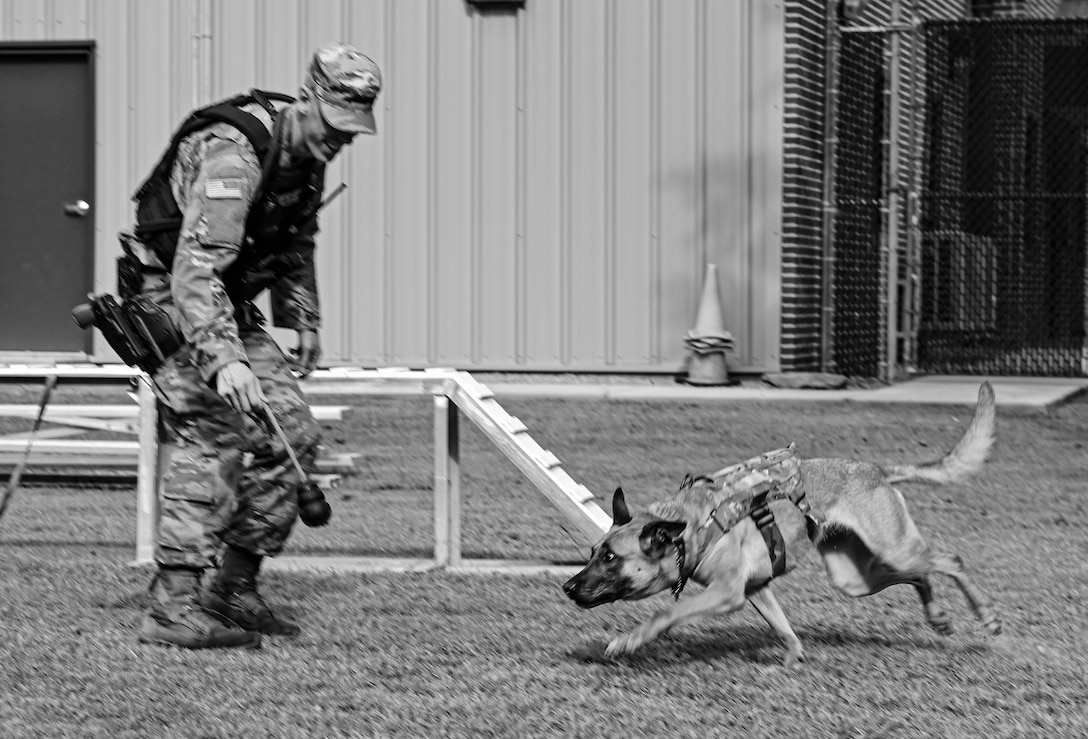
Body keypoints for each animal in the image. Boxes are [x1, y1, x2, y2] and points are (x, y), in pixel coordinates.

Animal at [565, 385, 1005, 666]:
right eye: (592, 553)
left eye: (610, 558)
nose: (567, 587)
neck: (691, 529)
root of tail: (877, 470)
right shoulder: (755, 588)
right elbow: (783, 627)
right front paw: (792, 659)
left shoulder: (727, 593)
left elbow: (663, 615)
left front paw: (626, 642)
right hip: (854, 577)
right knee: (920, 575)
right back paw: (939, 618)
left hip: (893, 548)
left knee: (950, 560)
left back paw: (986, 616)